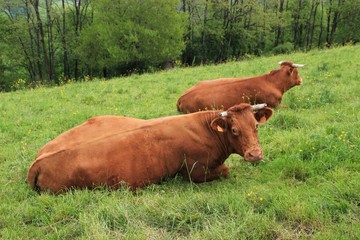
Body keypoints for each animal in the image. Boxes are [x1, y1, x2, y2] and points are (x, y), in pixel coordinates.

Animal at [27, 103, 272, 193]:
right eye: (234, 130)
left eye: (256, 126)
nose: (255, 154)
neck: (206, 129)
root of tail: (38, 161)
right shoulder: (195, 172)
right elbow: (226, 170)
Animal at [176, 61, 304, 113]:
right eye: (296, 71)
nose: (301, 80)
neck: (272, 82)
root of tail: (181, 98)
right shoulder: (274, 105)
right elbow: (290, 107)